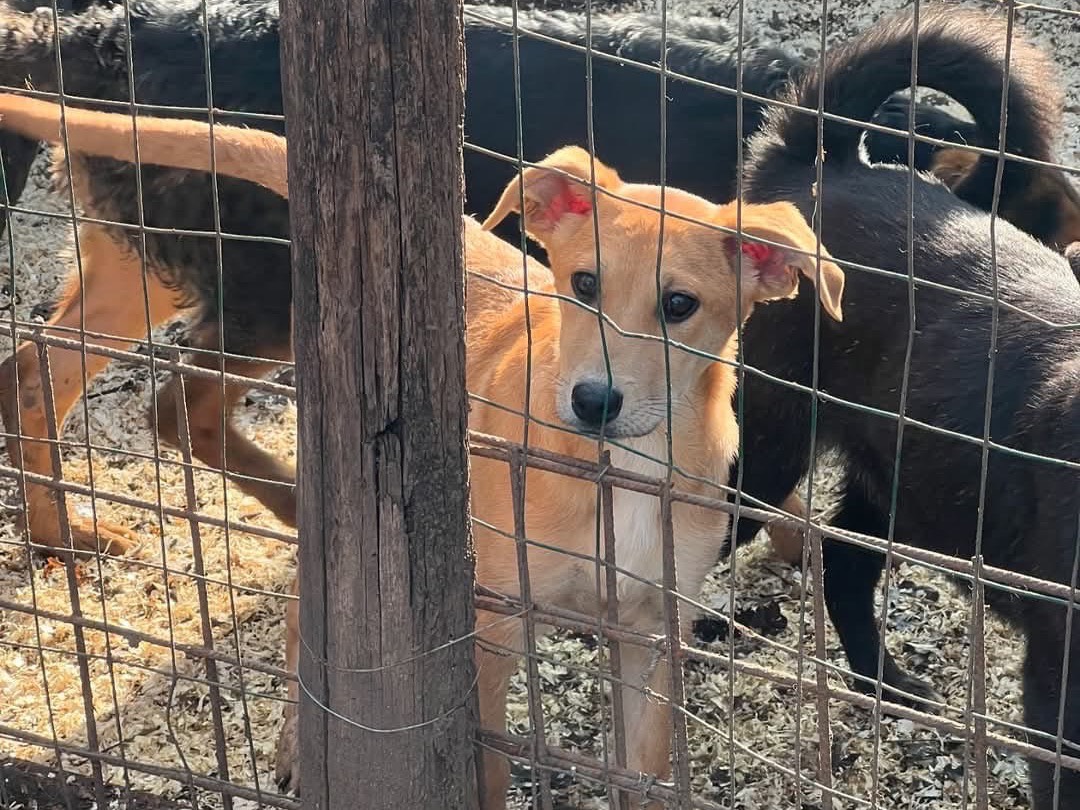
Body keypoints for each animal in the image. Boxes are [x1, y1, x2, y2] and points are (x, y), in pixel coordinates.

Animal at [0, 95, 842, 807]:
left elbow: (643, 775)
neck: (620, 473)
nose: (592, 401)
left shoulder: (651, 635)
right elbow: (490, 771)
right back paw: (298, 748)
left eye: (679, 305)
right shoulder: (492, 627)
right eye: (583, 284)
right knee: (304, 609)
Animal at [734, 6, 1080, 807]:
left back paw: (886, 685)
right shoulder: (1061, 686)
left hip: (906, 482)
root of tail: (823, 160)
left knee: (842, 562)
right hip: (765, 449)